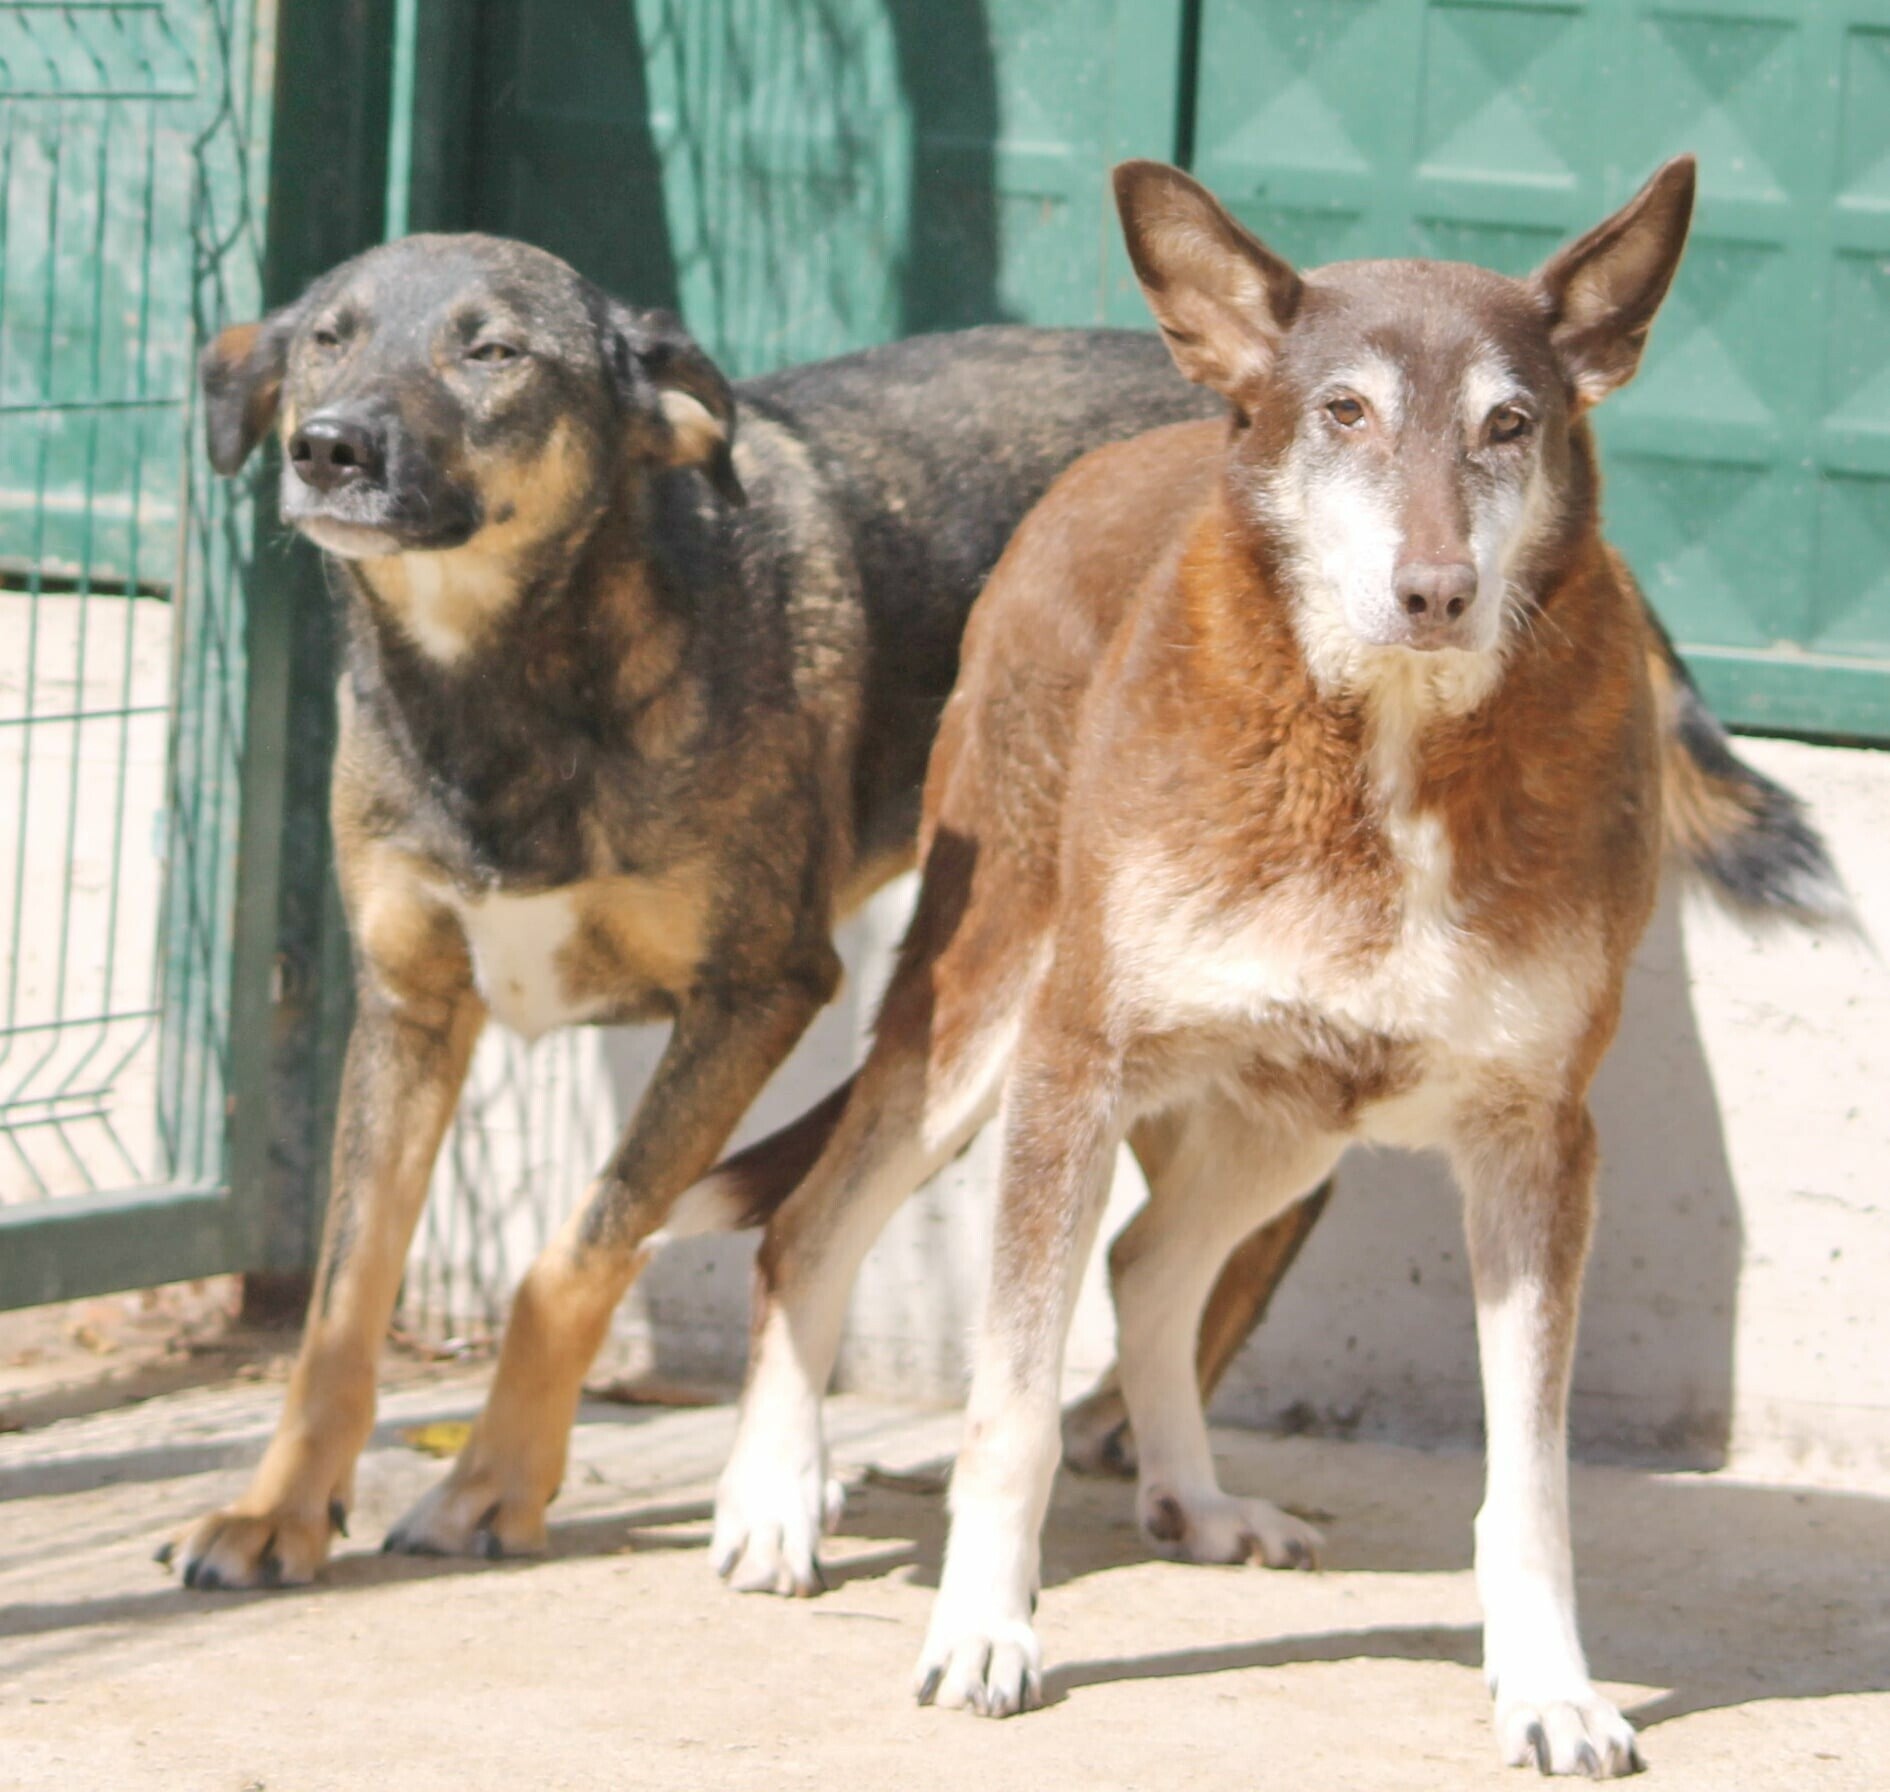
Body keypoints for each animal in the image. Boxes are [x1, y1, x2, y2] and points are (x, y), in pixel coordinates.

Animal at [692, 156, 1848, 1775]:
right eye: (1344, 412)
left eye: (1511, 424)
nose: (1434, 589)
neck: (1389, 746)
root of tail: (1136, 439)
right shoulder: (1075, 1067)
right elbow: (1009, 1412)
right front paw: (983, 1630)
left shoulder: (1536, 1141)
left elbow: (1532, 1482)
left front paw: (1549, 1688)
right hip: (983, 1017)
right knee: (812, 1224)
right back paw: (774, 1504)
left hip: (1294, 1115)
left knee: (1149, 1266)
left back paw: (1190, 1492)